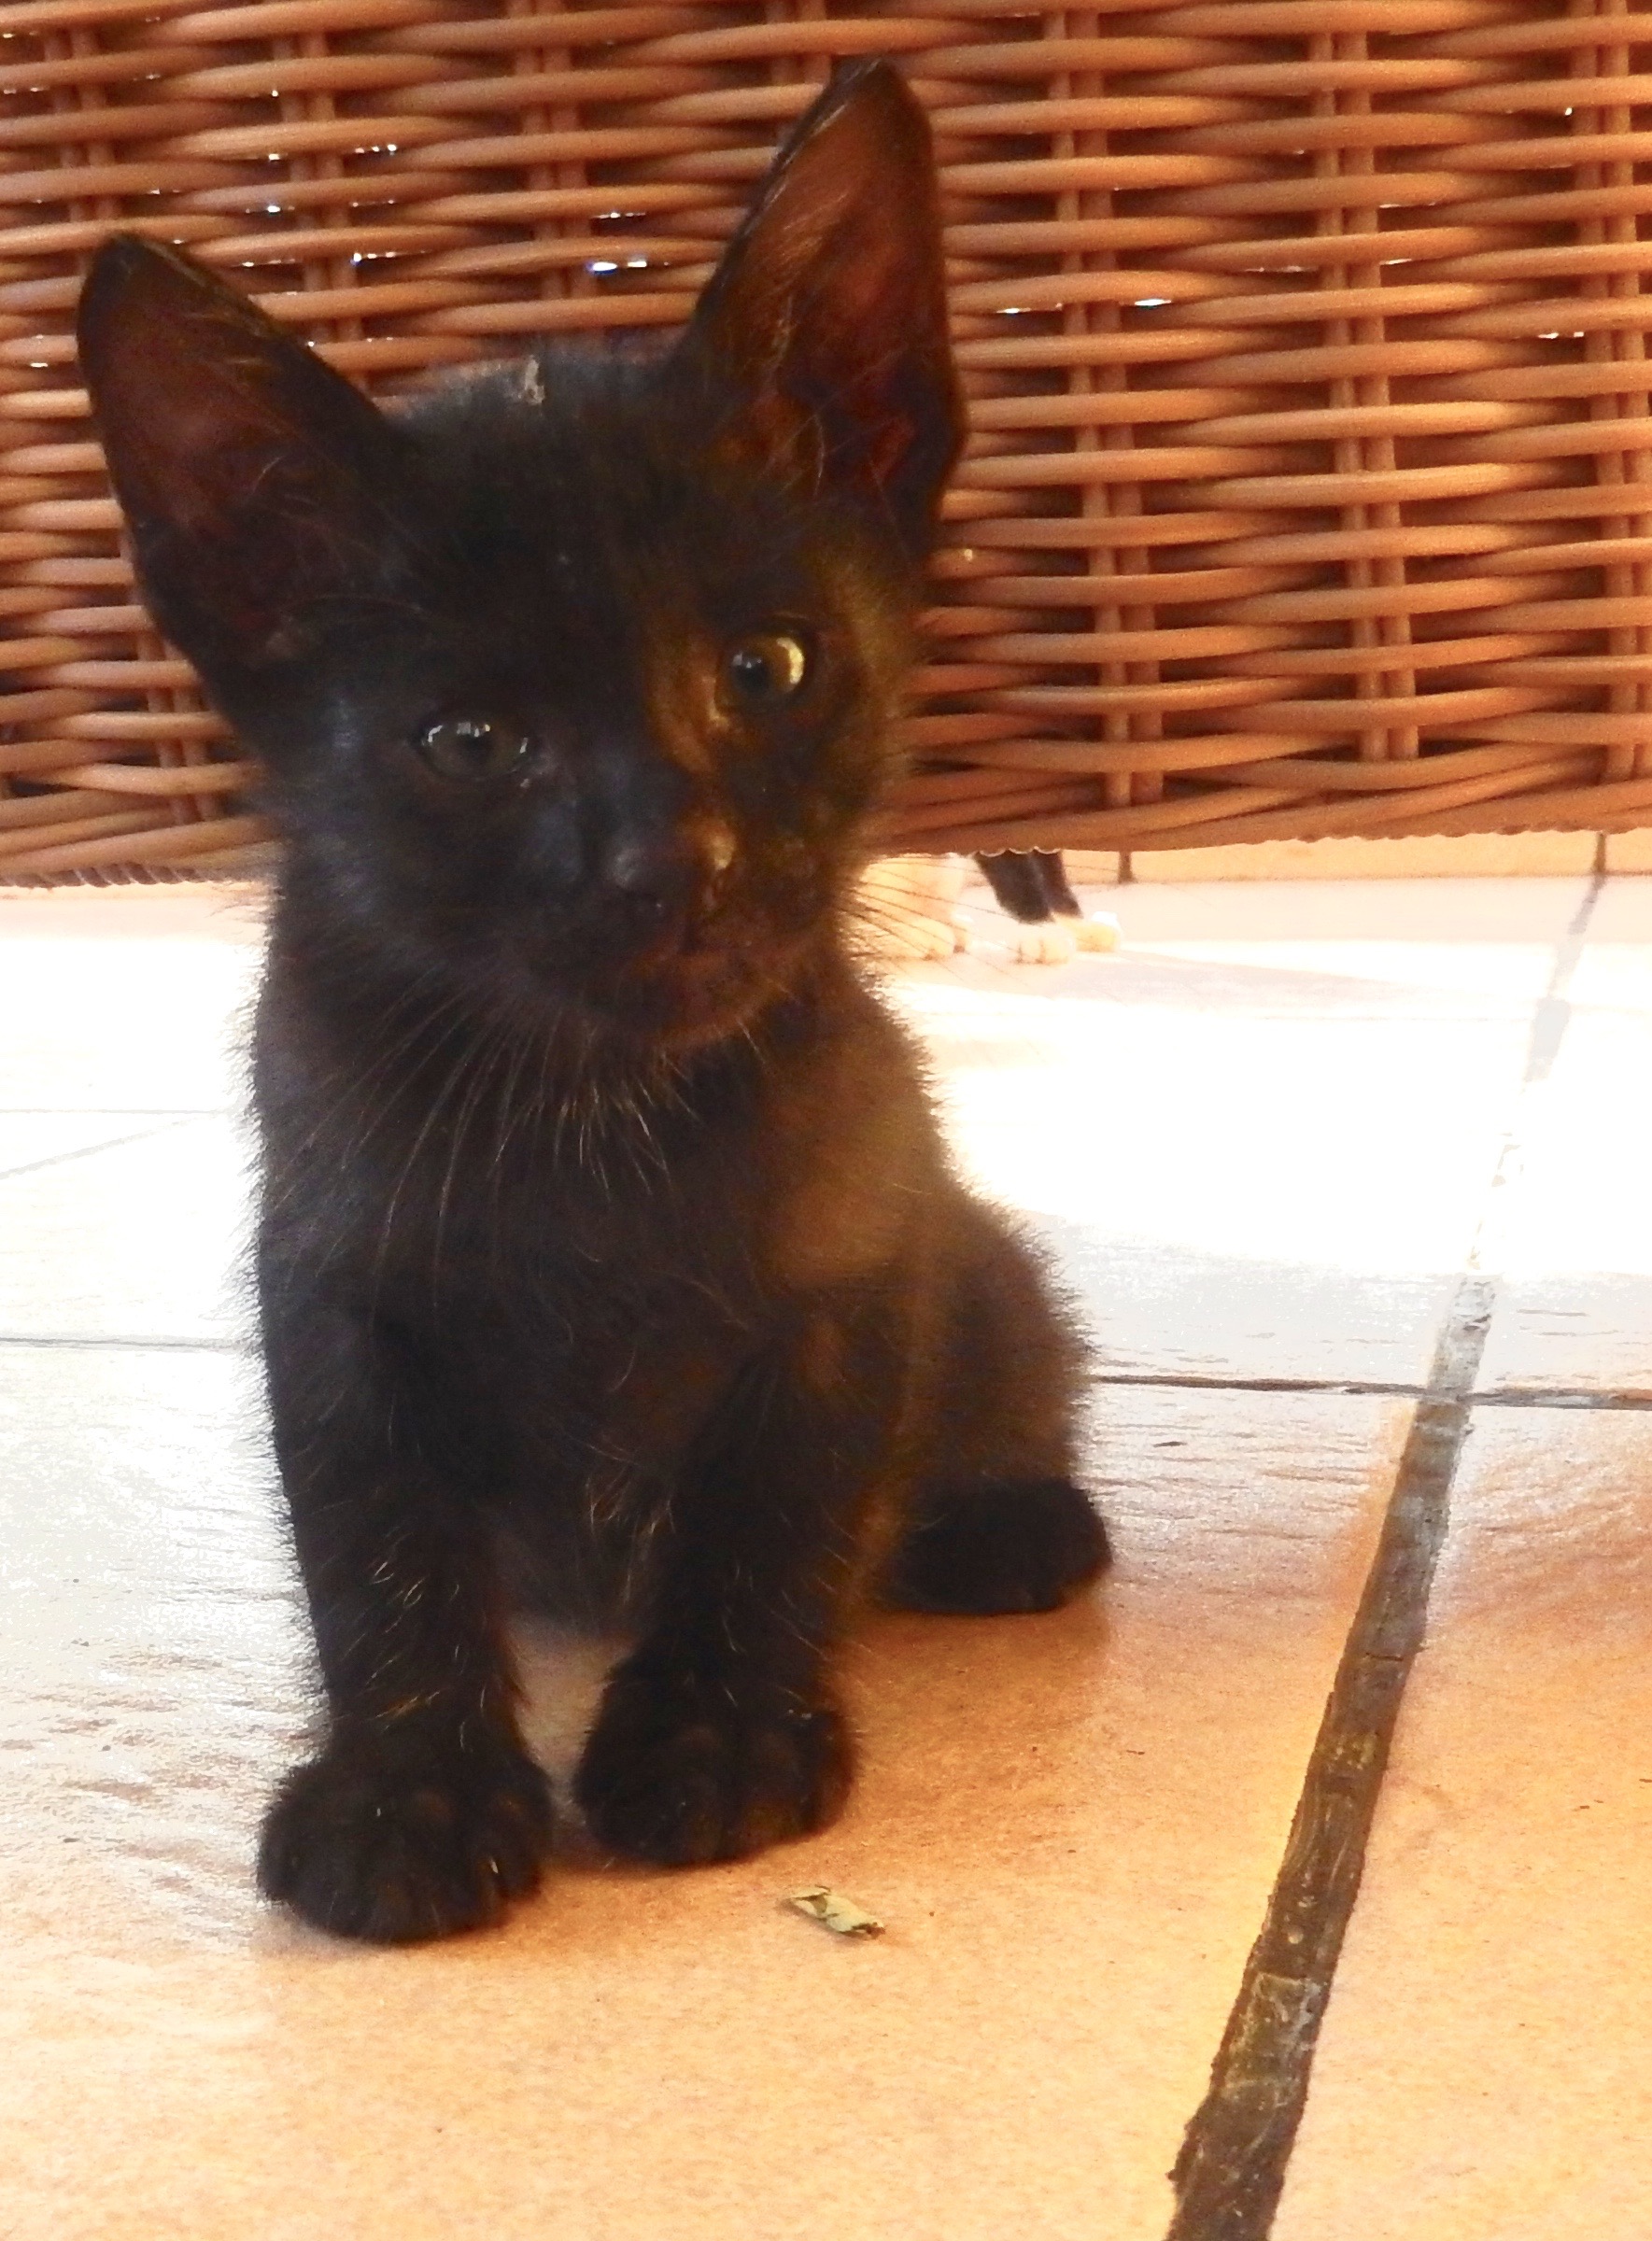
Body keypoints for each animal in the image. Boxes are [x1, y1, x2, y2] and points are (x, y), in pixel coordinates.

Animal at [77, 59, 1108, 1945]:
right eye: (470, 740)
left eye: (766, 666)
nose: (667, 856)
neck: (586, 1107)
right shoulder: (327, 1277)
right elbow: (369, 1530)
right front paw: (408, 1789)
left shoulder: (847, 1258)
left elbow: (774, 1501)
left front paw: (716, 1738)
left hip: (982, 1257)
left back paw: (1006, 1522)